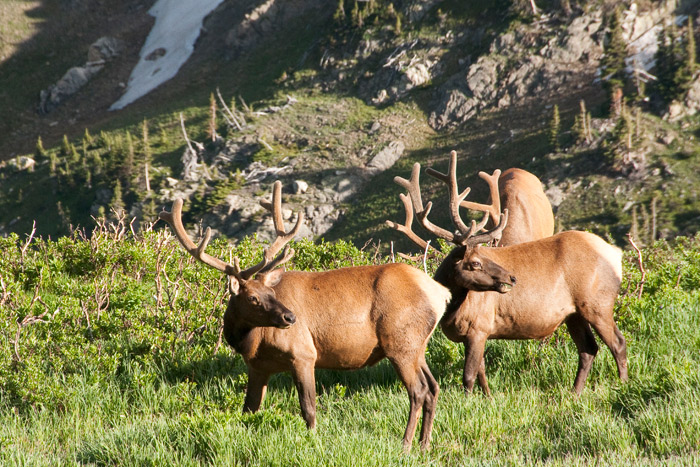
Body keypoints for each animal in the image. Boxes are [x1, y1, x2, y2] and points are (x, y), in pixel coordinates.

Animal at [159, 181, 452, 452]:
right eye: (253, 297)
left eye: (271, 292)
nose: (290, 317)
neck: (253, 342)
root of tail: (441, 293)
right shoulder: (257, 366)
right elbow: (249, 408)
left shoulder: (303, 354)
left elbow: (308, 407)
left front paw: (314, 440)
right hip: (417, 346)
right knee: (433, 387)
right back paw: (424, 444)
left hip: (400, 342)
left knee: (418, 391)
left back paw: (406, 444)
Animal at [388, 153, 628, 398]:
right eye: (476, 262)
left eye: (484, 257)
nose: (512, 278)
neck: (450, 308)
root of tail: (615, 253)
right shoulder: (476, 333)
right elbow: (481, 371)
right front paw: (488, 397)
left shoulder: (479, 327)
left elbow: (469, 375)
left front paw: (467, 400)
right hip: (574, 314)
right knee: (588, 348)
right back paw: (575, 392)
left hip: (597, 303)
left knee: (618, 342)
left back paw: (621, 384)